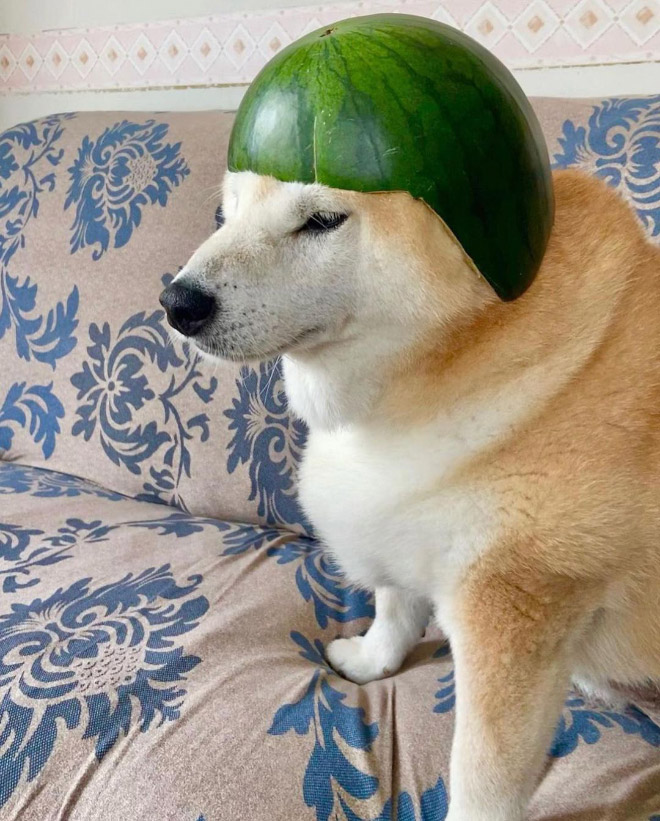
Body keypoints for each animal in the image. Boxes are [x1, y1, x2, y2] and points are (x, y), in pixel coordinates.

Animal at [161, 168, 660, 820]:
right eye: (229, 211)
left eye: (322, 220)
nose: (177, 303)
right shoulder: (396, 516)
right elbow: (395, 609)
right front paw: (372, 660)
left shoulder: (512, 608)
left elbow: (484, 774)